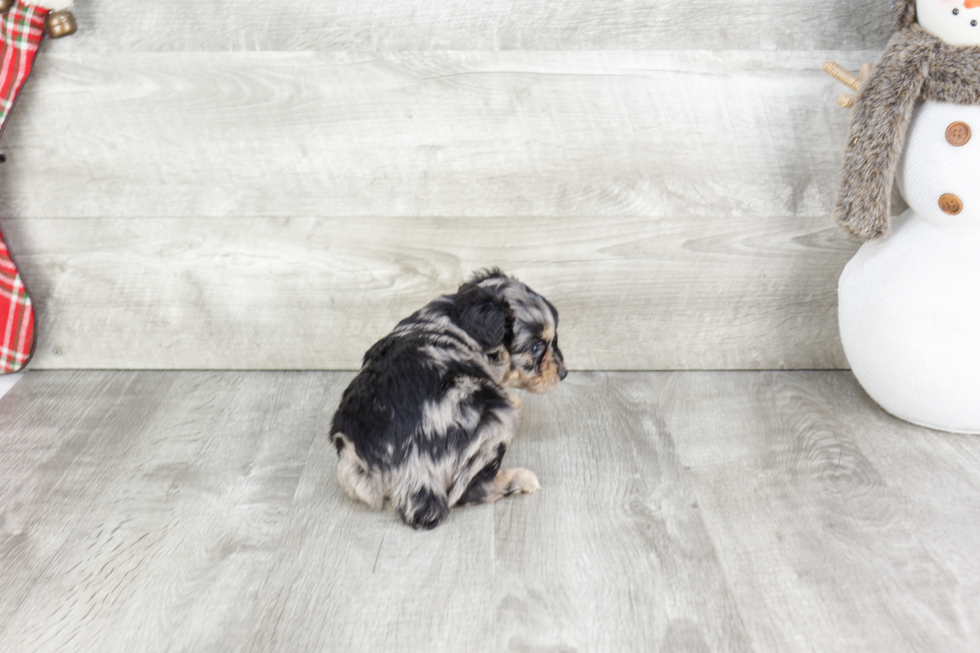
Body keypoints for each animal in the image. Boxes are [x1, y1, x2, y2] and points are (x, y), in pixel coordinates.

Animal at [332, 268, 568, 528]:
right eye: (536, 347)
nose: (564, 373)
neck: (461, 323)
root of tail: (409, 469)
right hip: (496, 416)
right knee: (466, 492)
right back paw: (519, 478)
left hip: (351, 473)